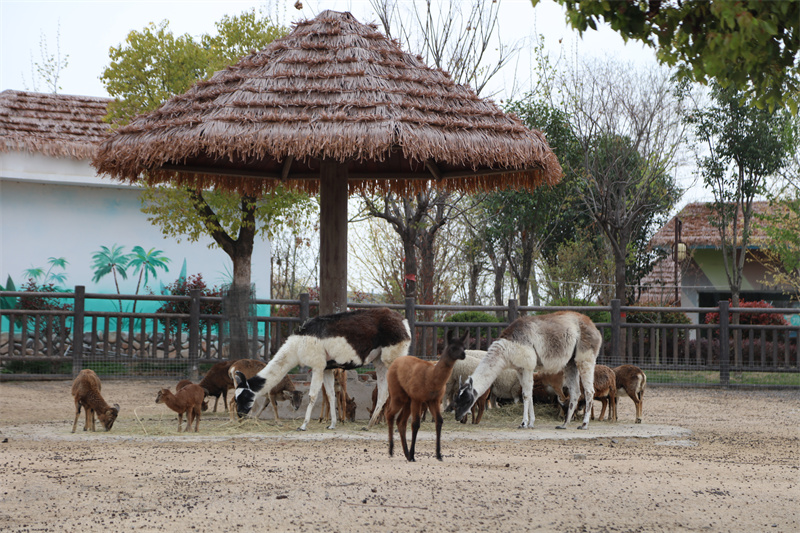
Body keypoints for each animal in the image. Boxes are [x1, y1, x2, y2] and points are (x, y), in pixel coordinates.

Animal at [388, 330, 468, 460]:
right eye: (453, 347)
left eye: (464, 347)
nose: (463, 355)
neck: (431, 377)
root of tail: (395, 361)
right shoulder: (418, 398)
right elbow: (415, 424)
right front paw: (413, 455)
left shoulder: (433, 400)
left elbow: (439, 421)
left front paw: (439, 455)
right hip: (397, 394)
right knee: (390, 415)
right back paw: (391, 451)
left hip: (407, 399)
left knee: (400, 422)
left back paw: (405, 453)